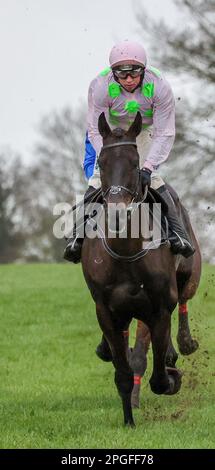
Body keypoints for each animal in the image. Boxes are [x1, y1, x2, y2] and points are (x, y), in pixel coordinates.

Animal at [81, 112, 182, 428]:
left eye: (136, 164)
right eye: (101, 163)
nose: (116, 214)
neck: (126, 254)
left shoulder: (160, 309)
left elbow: (160, 378)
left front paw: (172, 375)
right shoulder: (106, 312)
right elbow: (123, 373)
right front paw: (128, 421)